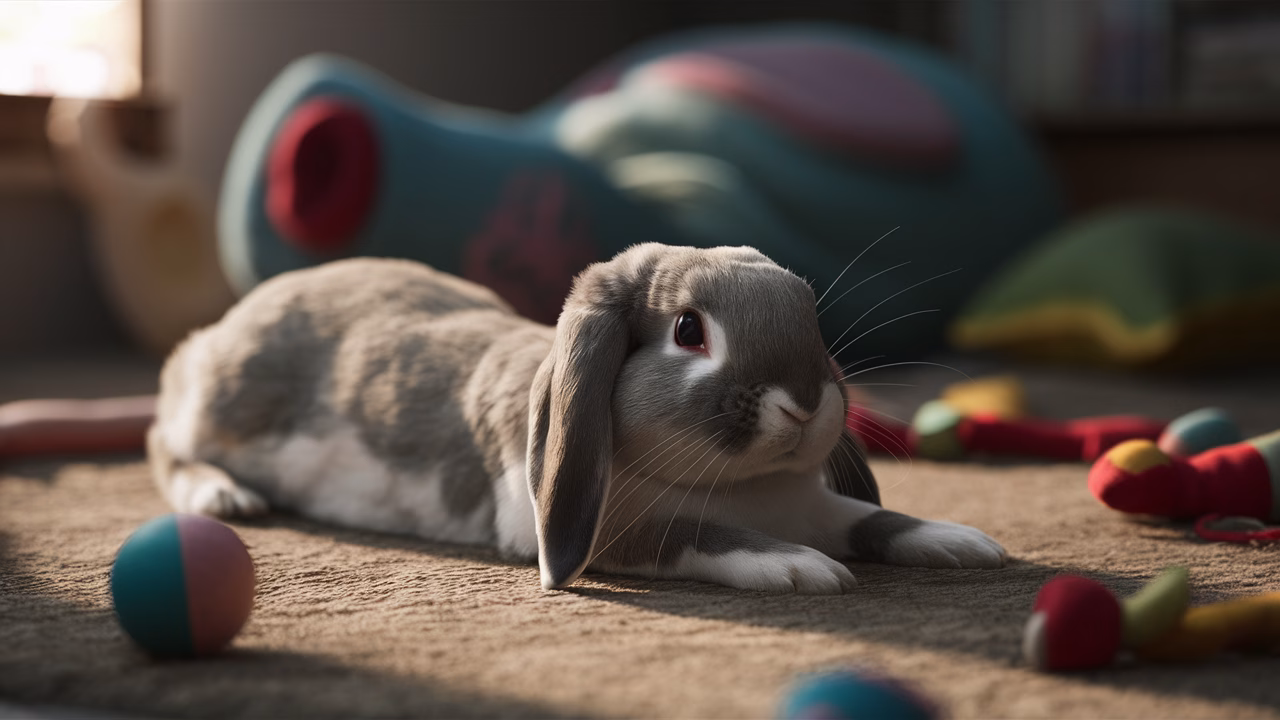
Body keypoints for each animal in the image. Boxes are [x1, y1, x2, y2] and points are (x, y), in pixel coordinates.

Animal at [149, 244, 1005, 593]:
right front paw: (799, 567)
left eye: (809, 314)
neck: (746, 490)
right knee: (163, 441)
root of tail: (233, 320)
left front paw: (961, 542)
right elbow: (691, 533)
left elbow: (872, 521)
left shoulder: (816, 503)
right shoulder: (609, 529)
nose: (803, 400)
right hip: (217, 403)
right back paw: (224, 496)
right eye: (689, 331)